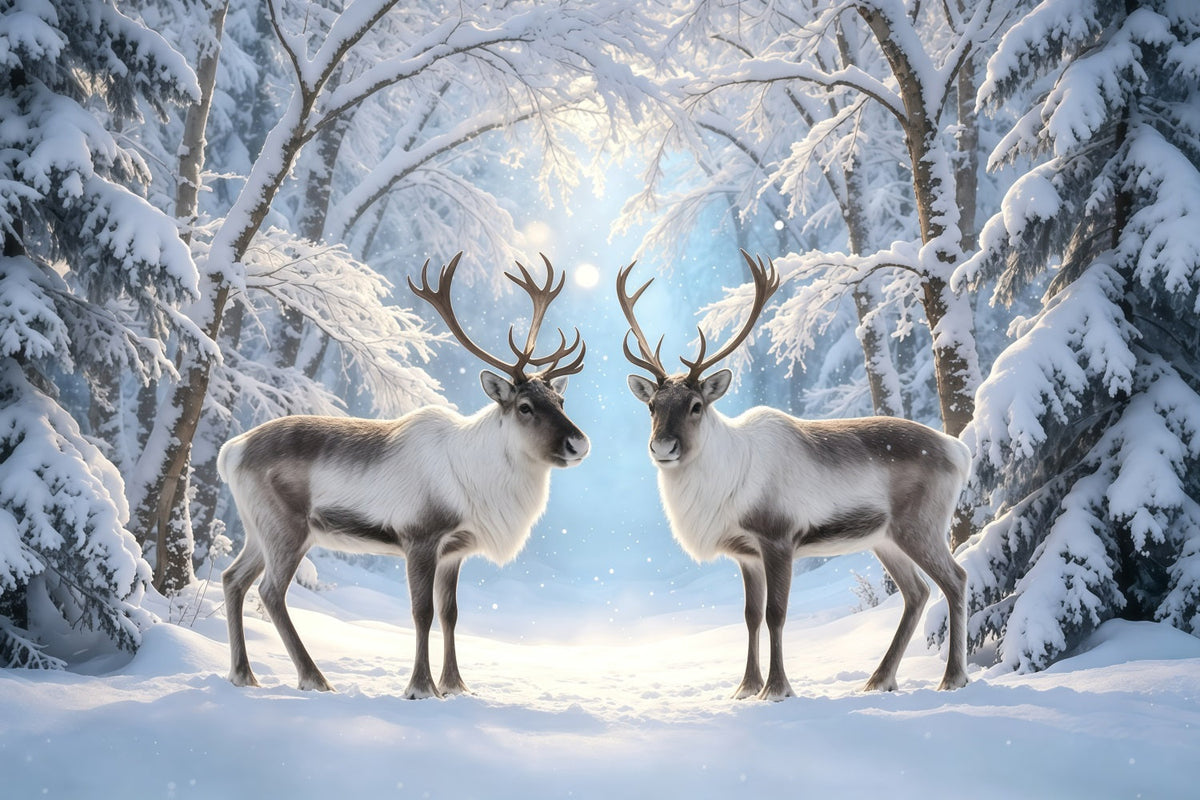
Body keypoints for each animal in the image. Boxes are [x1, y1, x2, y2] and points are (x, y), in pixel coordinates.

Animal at [218, 252, 589, 698]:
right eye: (525, 407)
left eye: (561, 401)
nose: (579, 443)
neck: (479, 479)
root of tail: (231, 451)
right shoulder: (420, 536)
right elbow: (421, 611)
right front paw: (421, 687)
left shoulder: (455, 551)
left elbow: (450, 613)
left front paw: (456, 685)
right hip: (286, 528)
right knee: (270, 591)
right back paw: (314, 678)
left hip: (256, 528)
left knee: (232, 579)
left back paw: (243, 674)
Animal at [618, 251, 970, 700]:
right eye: (652, 406)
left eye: (696, 405)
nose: (663, 446)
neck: (725, 483)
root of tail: (958, 449)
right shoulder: (745, 554)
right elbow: (750, 615)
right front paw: (745, 687)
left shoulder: (778, 536)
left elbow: (776, 614)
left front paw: (777, 688)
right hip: (884, 538)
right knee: (917, 592)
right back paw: (879, 680)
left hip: (920, 525)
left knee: (955, 579)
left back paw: (952, 677)